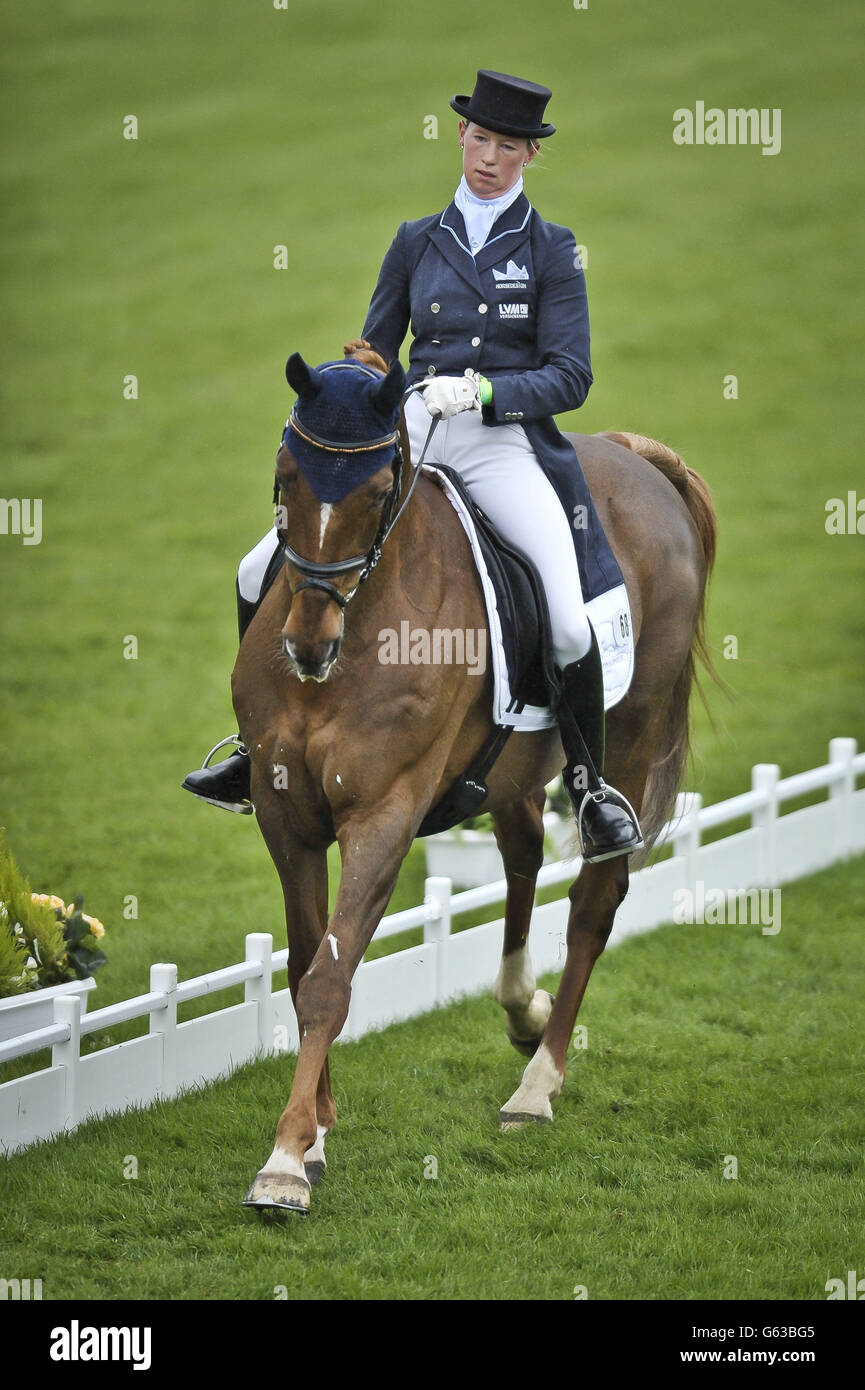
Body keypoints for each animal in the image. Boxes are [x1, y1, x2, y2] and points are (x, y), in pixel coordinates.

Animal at [235, 344, 717, 1217]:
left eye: (377, 490)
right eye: (285, 475)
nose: (307, 646)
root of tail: (634, 459)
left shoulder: (384, 814)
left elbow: (329, 980)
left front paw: (285, 1160)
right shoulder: (284, 814)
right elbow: (303, 966)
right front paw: (317, 1128)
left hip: (625, 737)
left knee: (593, 900)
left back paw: (536, 1084)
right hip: (515, 766)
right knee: (523, 851)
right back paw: (521, 1009)